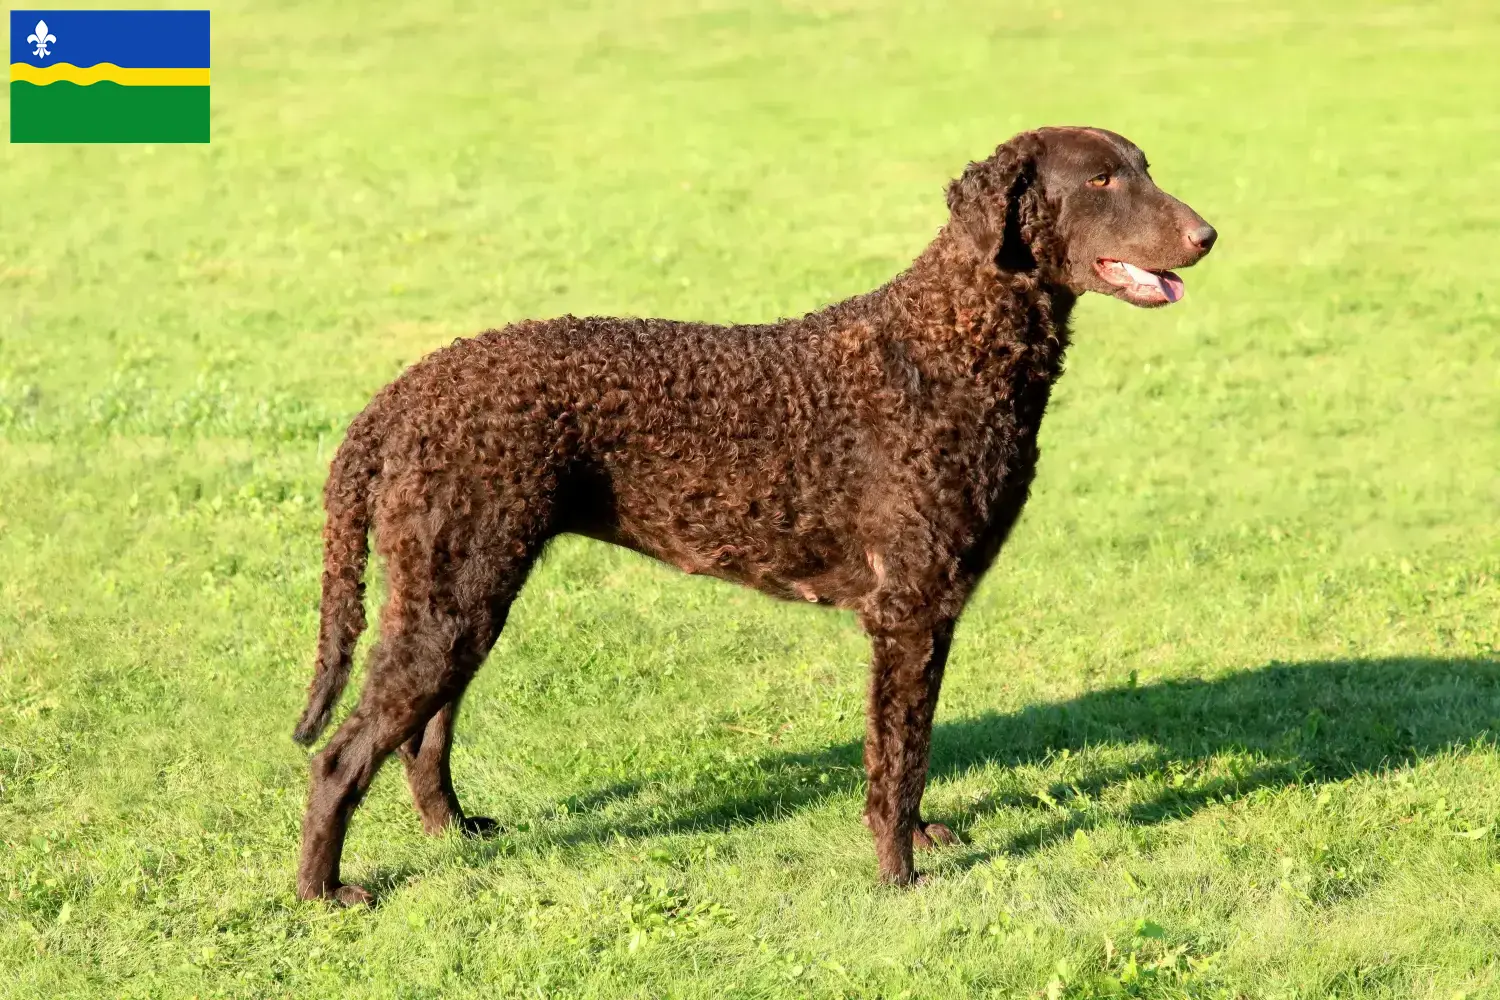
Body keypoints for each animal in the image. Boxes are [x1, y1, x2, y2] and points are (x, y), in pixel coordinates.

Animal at [289, 128, 1206, 905]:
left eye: (1144, 166)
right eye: (1101, 180)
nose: (1208, 235)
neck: (947, 347)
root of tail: (403, 393)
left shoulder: (931, 610)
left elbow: (912, 743)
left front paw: (917, 839)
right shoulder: (907, 609)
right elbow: (899, 755)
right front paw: (898, 876)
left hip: (465, 593)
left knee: (423, 736)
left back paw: (455, 832)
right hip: (454, 597)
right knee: (341, 756)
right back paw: (323, 893)